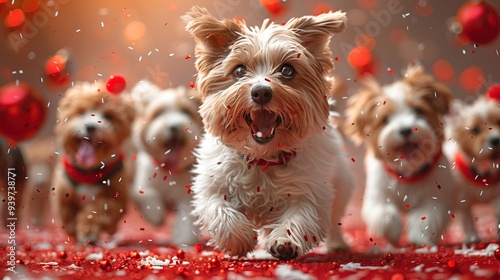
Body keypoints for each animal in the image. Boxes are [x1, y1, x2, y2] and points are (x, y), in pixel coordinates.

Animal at [52, 81, 135, 243]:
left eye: (108, 116)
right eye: (80, 112)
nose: (90, 127)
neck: (89, 172)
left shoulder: (115, 199)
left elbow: (96, 212)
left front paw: (87, 230)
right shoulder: (63, 195)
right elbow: (67, 215)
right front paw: (74, 229)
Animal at [183, 6, 352, 260]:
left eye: (287, 70)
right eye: (239, 70)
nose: (261, 91)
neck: (262, 157)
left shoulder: (310, 192)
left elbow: (300, 217)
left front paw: (285, 241)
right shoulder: (212, 185)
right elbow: (218, 209)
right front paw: (239, 238)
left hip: (340, 186)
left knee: (334, 220)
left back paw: (337, 244)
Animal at [346, 65, 456, 245]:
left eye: (418, 111)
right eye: (385, 119)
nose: (405, 130)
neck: (408, 172)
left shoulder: (435, 196)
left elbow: (426, 217)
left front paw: (419, 237)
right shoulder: (378, 193)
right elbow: (383, 213)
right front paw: (391, 231)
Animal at [446, 86, 500, 243]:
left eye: (499, 122)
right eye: (475, 130)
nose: (495, 140)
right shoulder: (462, 200)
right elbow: (467, 219)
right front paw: (471, 237)